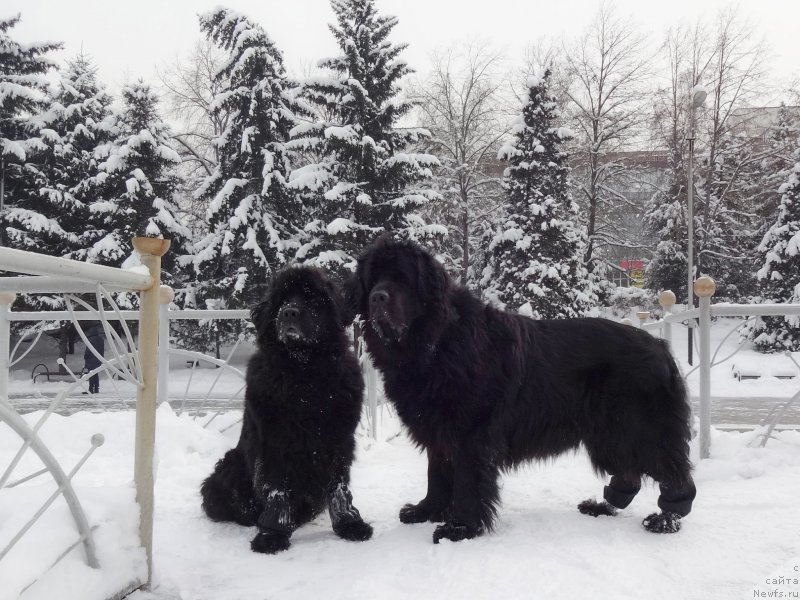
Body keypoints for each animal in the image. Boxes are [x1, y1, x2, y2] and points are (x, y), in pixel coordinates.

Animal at [202, 268, 374, 552]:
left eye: (312, 297)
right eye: (281, 299)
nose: (289, 312)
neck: (305, 371)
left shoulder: (339, 439)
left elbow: (340, 487)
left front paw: (350, 524)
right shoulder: (275, 441)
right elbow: (278, 490)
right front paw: (272, 534)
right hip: (230, 467)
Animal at [346, 239, 696, 544]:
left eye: (402, 279)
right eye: (372, 279)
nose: (378, 297)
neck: (436, 341)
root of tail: (661, 347)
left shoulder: (471, 435)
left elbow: (466, 482)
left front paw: (460, 528)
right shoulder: (439, 430)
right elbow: (437, 474)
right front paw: (425, 511)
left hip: (642, 429)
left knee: (673, 472)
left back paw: (666, 519)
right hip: (609, 434)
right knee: (629, 474)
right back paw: (603, 506)